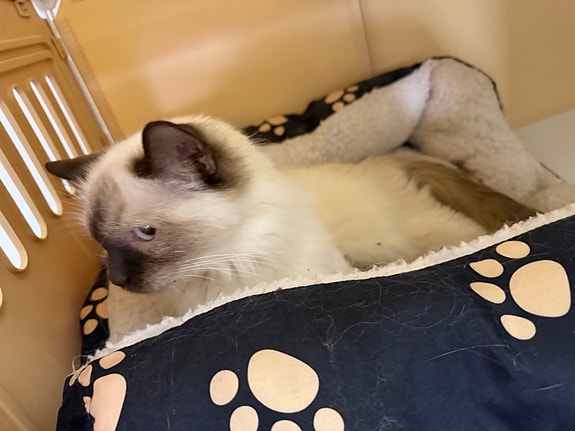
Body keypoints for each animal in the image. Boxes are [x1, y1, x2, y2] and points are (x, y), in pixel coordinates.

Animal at [46, 115, 534, 342]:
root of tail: (382, 160)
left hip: (419, 238)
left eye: (145, 233)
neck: (226, 268)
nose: (118, 279)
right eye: (101, 244)